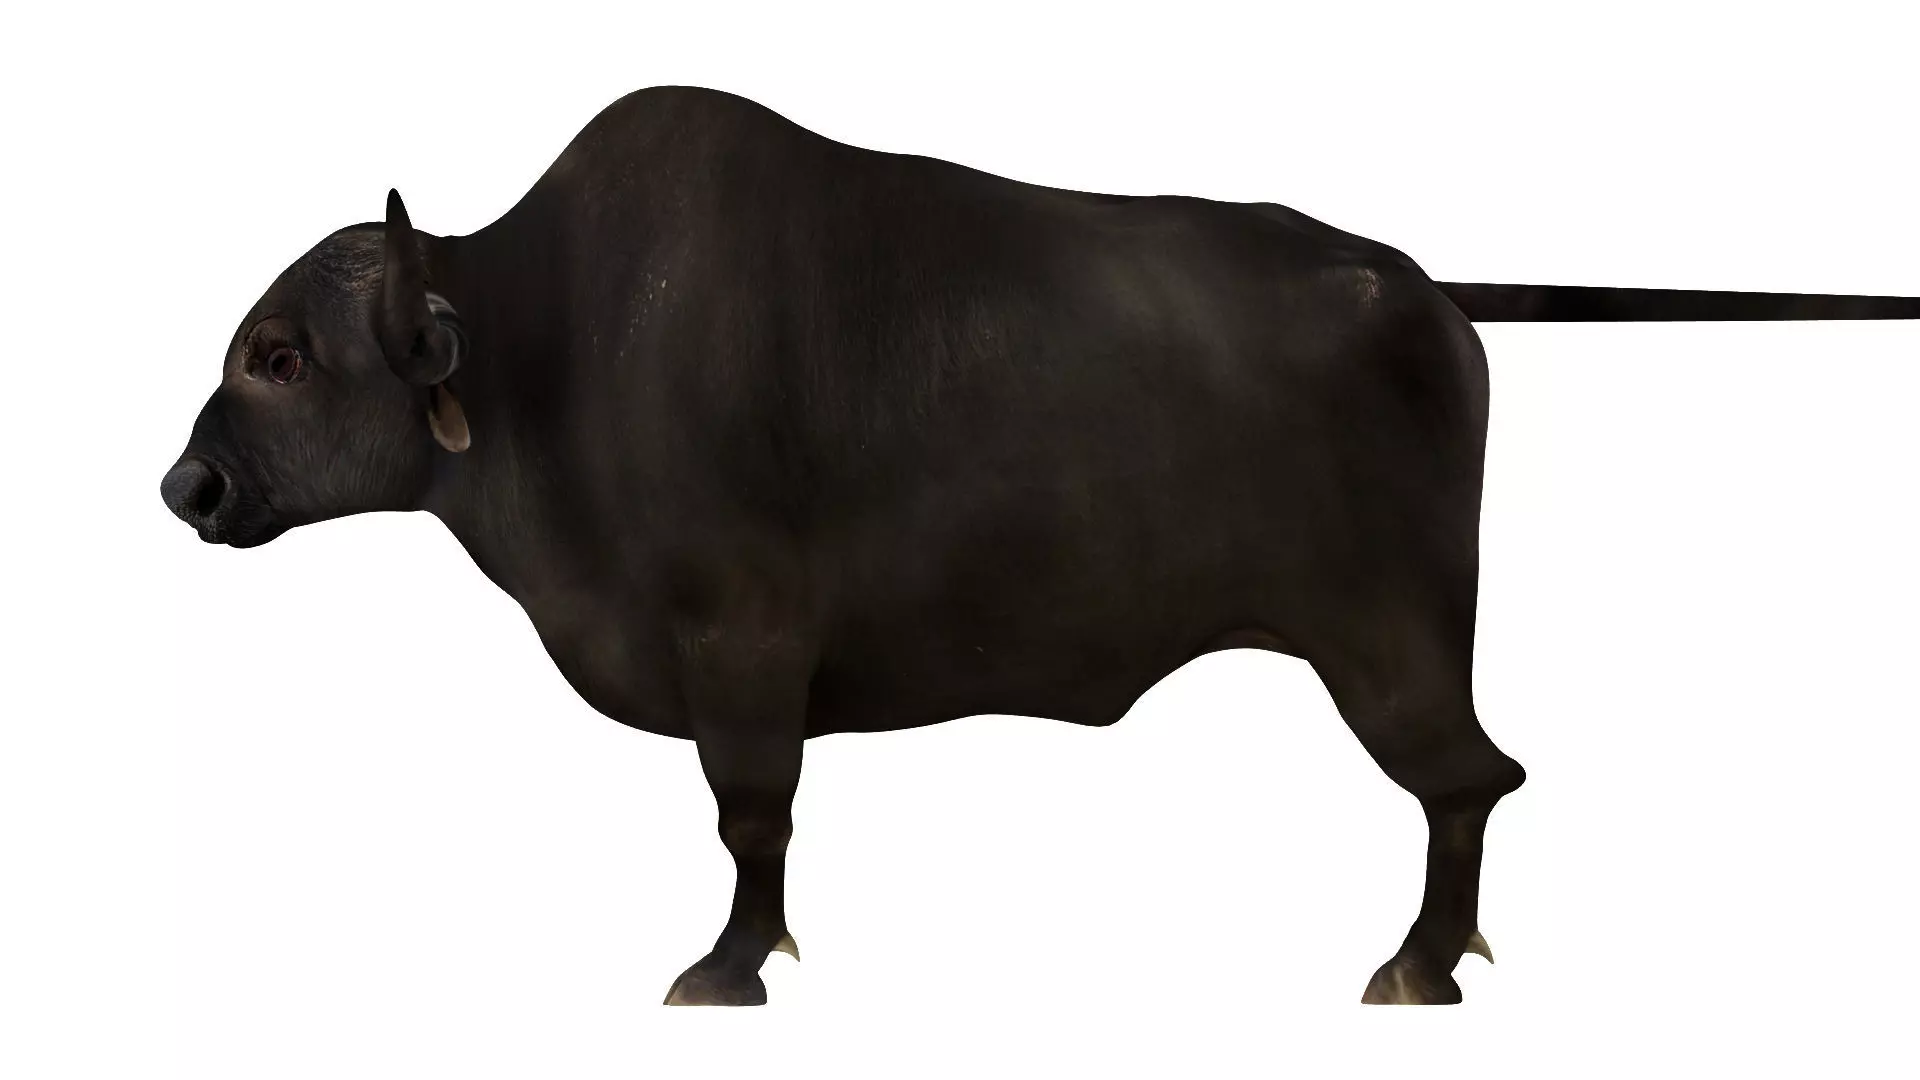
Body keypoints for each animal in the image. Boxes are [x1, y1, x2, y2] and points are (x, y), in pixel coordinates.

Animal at [158, 85, 1920, 1006]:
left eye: (286, 354)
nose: (189, 489)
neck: (545, 341)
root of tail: (1423, 289)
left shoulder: (745, 658)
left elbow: (751, 821)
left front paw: (726, 973)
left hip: (1390, 649)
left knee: (1471, 778)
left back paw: (1414, 972)